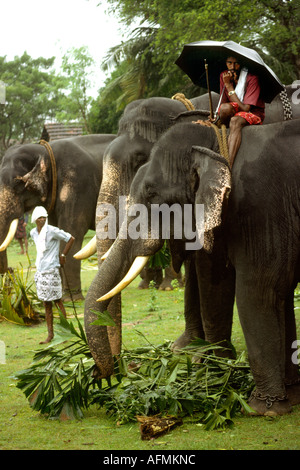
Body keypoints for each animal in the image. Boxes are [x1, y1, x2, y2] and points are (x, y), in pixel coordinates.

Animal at [0, 134, 115, 300]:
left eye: (16, 183)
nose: (11, 271)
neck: (44, 150)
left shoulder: (77, 184)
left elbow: (71, 231)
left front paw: (72, 299)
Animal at [84, 118, 300, 418]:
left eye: (151, 194)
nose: (100, 374)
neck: (215, 142)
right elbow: (272, 292)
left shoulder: (259, 208)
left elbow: (258, 292)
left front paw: (261, 408)